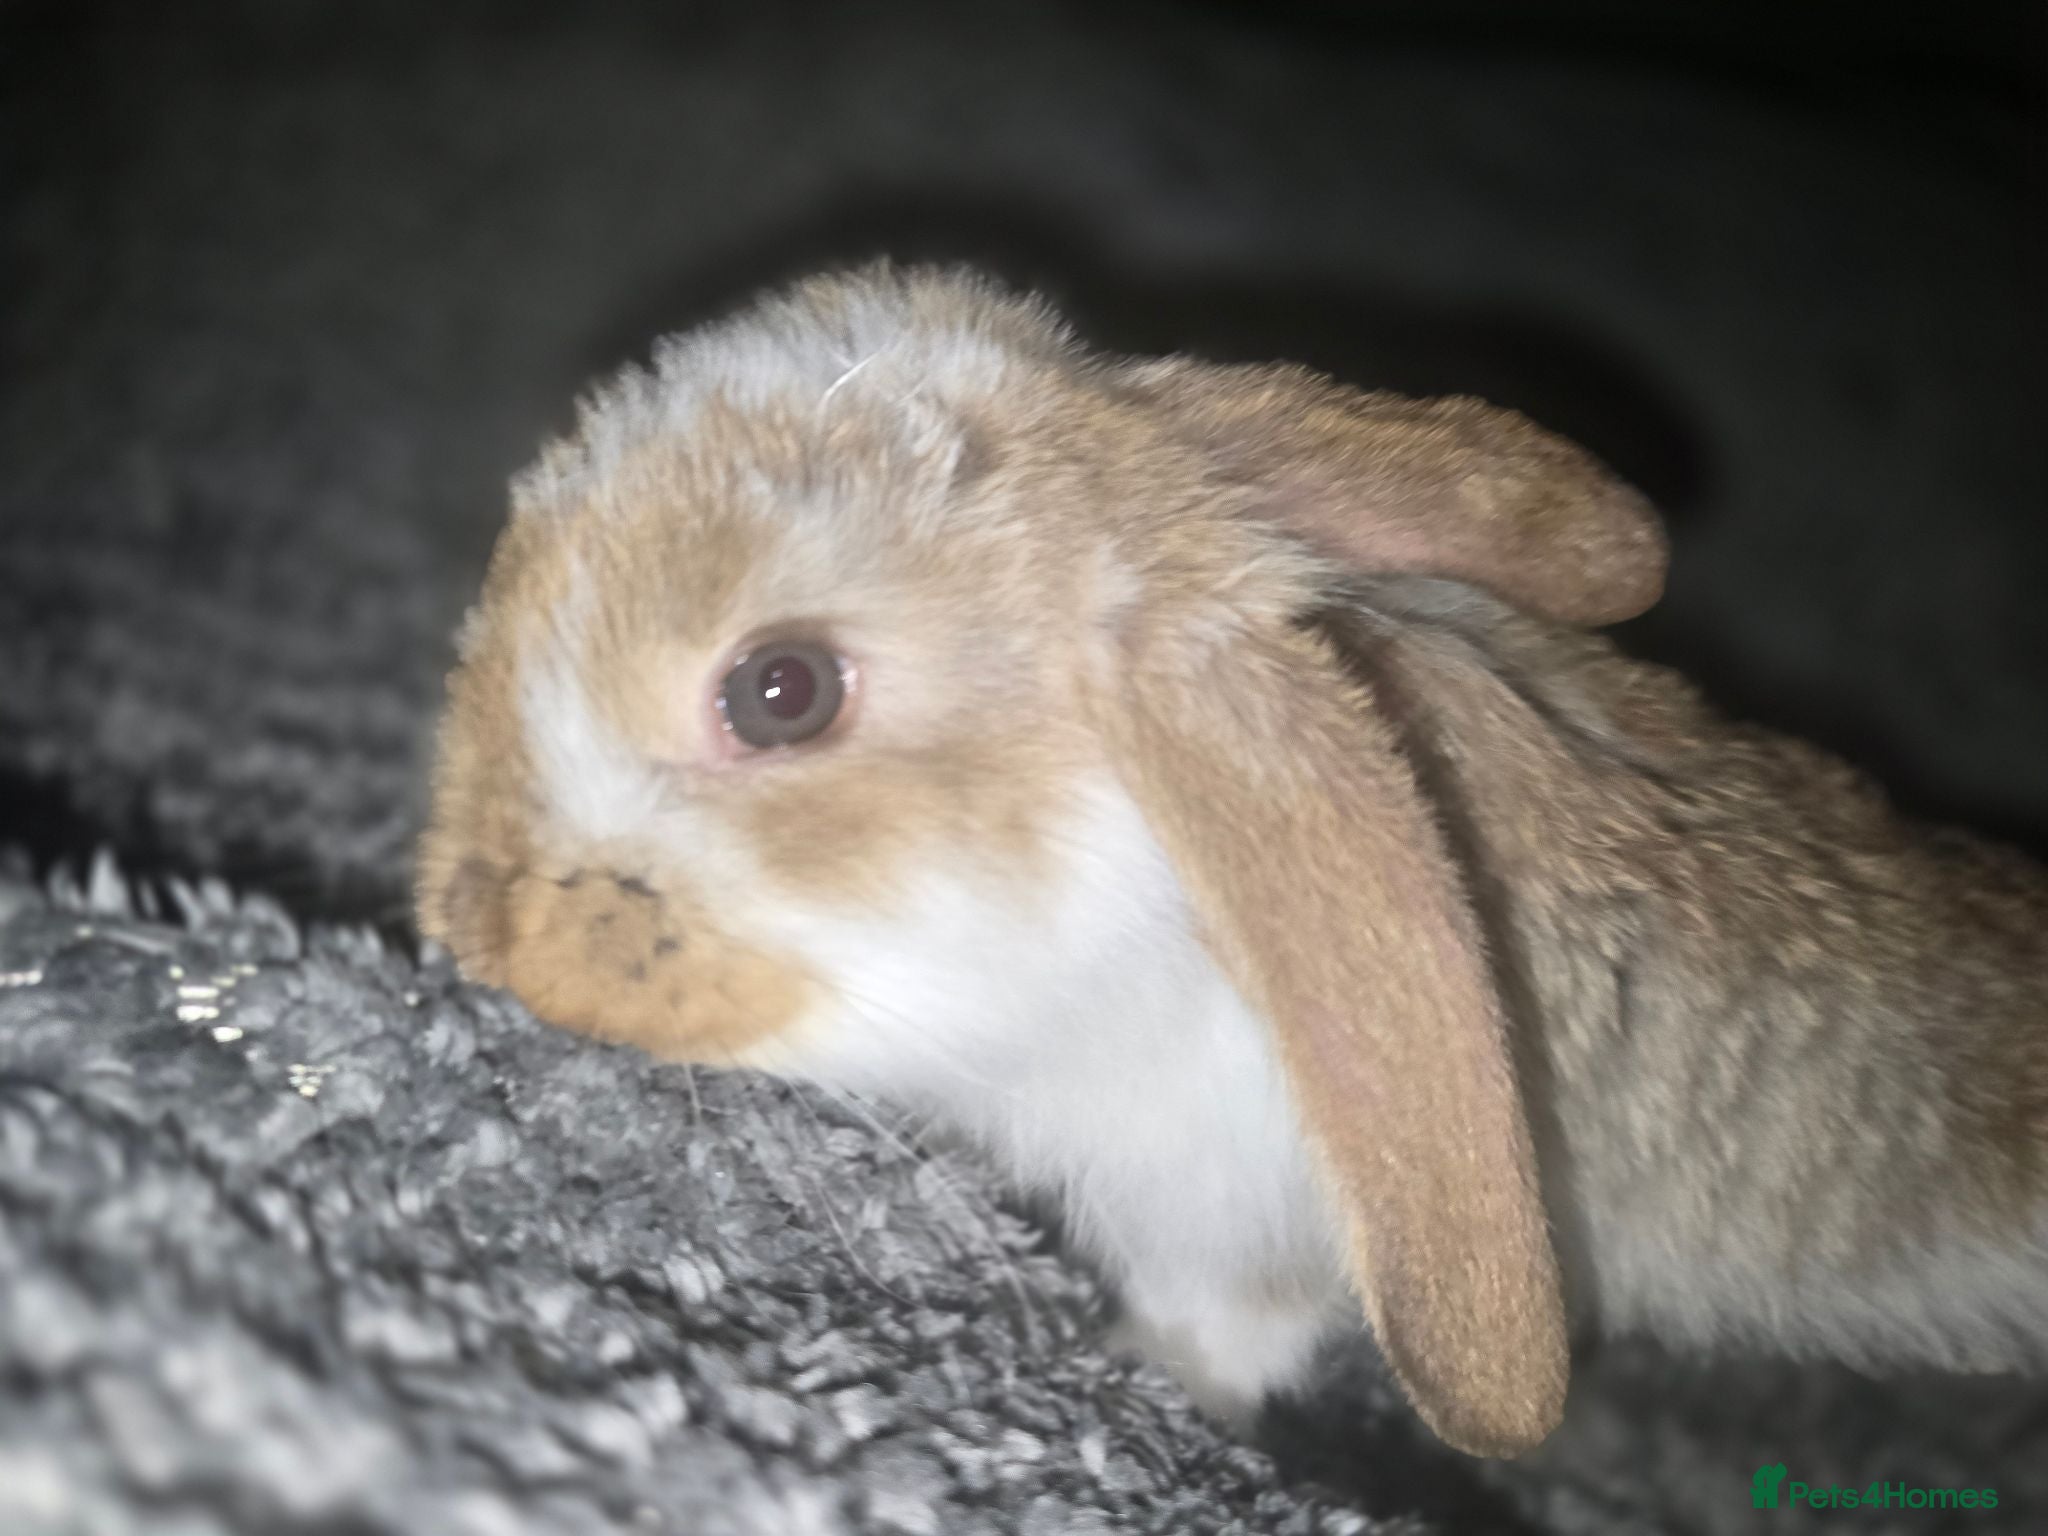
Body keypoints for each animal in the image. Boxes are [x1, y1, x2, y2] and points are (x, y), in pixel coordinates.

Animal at [416, 262, 2048, 1459]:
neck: (1118, 880)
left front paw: (1122, 1382)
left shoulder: (1229, 1225)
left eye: (781, 691)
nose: (479, 928)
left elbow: (1220, 1335)